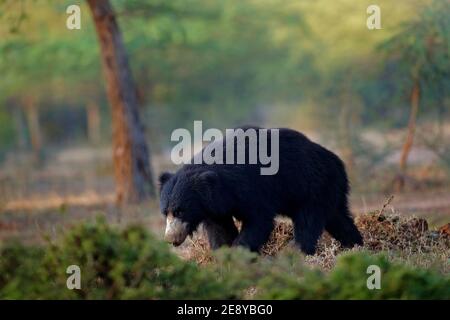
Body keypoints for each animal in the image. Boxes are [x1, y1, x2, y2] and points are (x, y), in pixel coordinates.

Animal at [158, 126, 362, 254]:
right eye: (165, 212)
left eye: (180, 211)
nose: (170, 238)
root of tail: (337, 161)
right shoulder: (214, 207)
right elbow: (220, 230)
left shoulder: (251, 188)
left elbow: (259, 221)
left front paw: (239, 254)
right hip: (329, 191)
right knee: (338, 219)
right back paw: (356, 245)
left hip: (312, 186)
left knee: (308, 222)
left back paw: (297, 252)